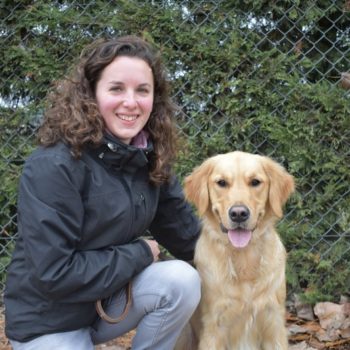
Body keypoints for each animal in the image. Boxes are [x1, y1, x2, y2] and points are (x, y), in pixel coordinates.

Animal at [176, 151, 294, 350]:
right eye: (222, 182)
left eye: (255, 182)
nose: (239, 213)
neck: (243, 256)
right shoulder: (214, 327)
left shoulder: (274, 323)